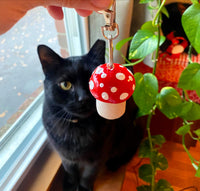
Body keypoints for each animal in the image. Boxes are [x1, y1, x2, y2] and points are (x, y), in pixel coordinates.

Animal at [37, 40, 143, 191]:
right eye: (65, 85)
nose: (84, 98)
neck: (78, 127)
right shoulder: (65, 156)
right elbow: (70, 171)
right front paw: (70, 185)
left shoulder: (98, 157)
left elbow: (88, 174)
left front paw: (84, 188)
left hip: (129, 133)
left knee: (130, 149)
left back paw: (114, 163)